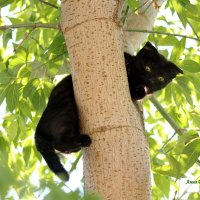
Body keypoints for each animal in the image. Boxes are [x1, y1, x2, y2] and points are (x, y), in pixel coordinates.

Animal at [34, 41, 183, 181]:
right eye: (148, 68)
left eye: (161, 78)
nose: (151, 81)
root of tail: (39, 128)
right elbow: (127, 61)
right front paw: (129, 65)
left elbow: (137, 92)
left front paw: (140, 90)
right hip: (67, 110)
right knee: (61, 141)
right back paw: (84, 140)